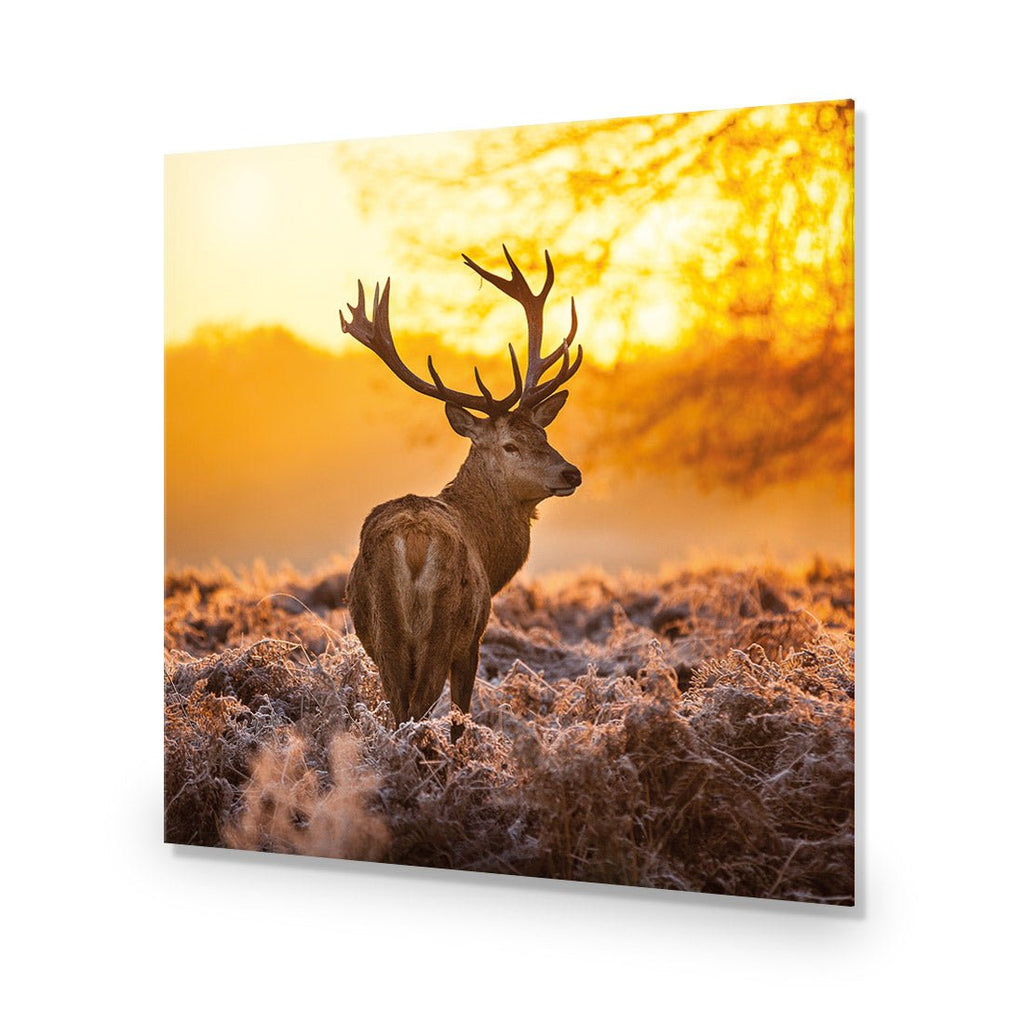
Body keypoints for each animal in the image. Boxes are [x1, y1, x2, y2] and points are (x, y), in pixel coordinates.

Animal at [340, 247, 583, 740]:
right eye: (510, 444)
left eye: (543, 434)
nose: (572, 473)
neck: (490, 554)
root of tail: (412, 541)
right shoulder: (473, 638)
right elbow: (460, 718)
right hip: (444, 628)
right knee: (418, 710)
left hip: (384, 633)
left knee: (398, 709)